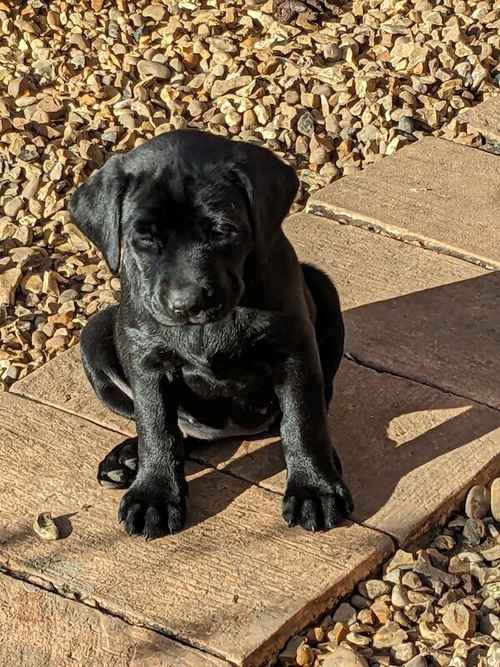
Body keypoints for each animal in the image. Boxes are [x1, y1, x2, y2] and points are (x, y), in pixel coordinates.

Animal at [70, 128, 354, 540]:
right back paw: (127, 458)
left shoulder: (292, 350)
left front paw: (314, 488)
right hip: (94, 336)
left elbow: (302, 419)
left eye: (223, 230)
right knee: (177, 430)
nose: (187, 304)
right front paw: (155, 494)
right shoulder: (147, 361)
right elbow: (156, 425)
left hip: (322, 287)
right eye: (145, 238)